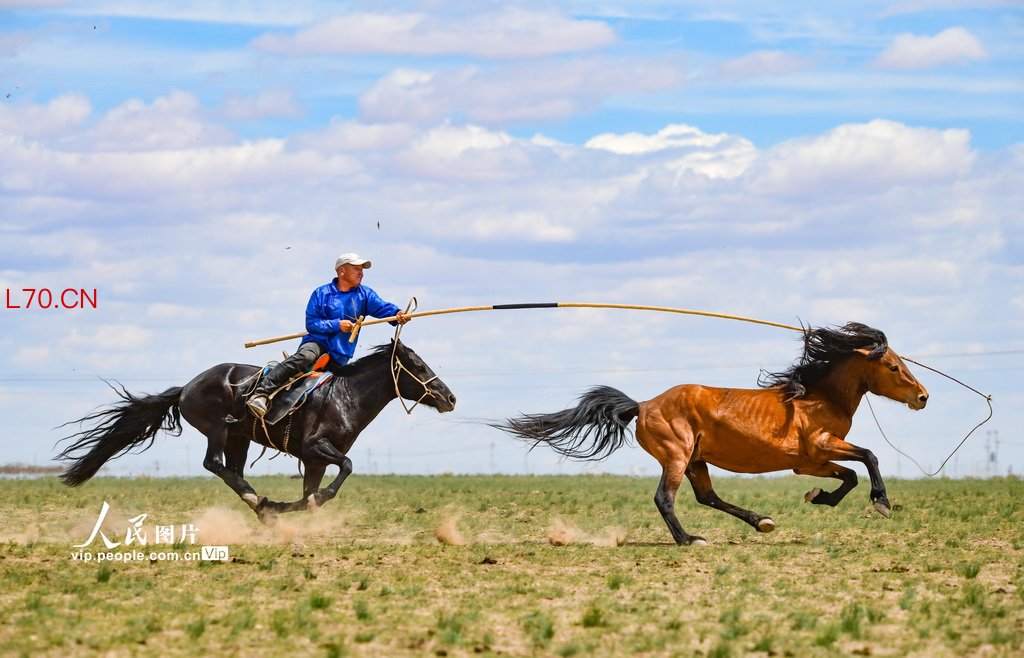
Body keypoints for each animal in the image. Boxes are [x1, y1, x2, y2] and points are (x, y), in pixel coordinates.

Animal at [57, 341, 456, 522]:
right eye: (419, 366)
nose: (450, 397)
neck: (344, 396)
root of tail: (187, 387)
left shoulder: (314, 461)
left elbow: (312, 491)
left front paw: (292, 505)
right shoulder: (316, 448)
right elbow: (346, 467)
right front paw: (296, 503)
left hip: (240, 438)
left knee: (231, 469)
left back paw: (264, 506)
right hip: (218, 429)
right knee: (214, 465)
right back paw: (258, 502)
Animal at [497, 322, 928, 545]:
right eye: (893, 366)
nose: (923, 396)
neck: (816, 396)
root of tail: (643, 405)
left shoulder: (812, 463)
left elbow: (850, 475)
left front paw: (820, 497)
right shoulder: (821, 447)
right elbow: (869, 456)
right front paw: (881, 502)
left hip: (695, 460)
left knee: (707, 496)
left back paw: (761, 521)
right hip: (676, 456)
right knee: (665, 499)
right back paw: (689, 540)